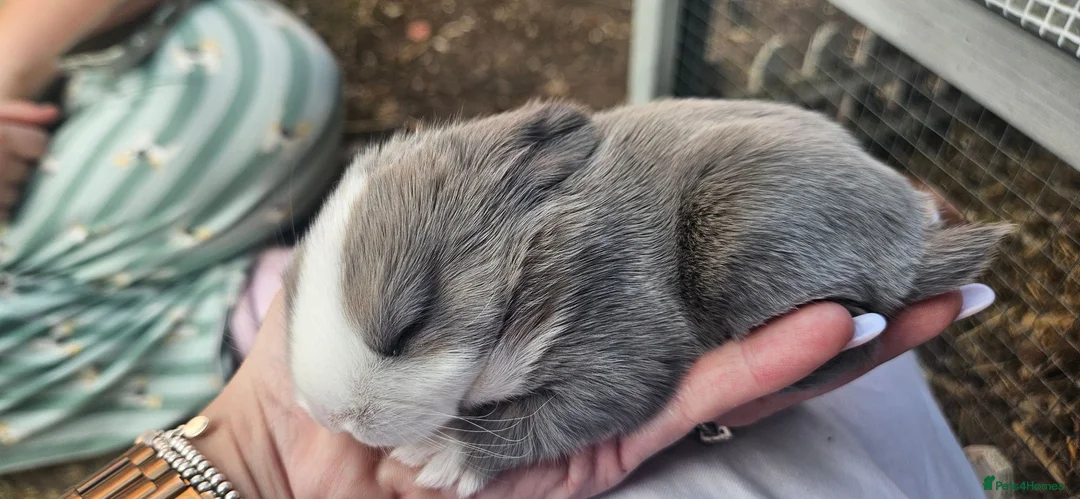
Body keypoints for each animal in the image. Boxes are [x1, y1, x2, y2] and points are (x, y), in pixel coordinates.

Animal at [283, 98, 1009, 497]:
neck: (539, 255)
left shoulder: (621, 346)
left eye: (409, 324)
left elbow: (557, 415)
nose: (331, 416)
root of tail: (914, 243)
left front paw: (442, 456)